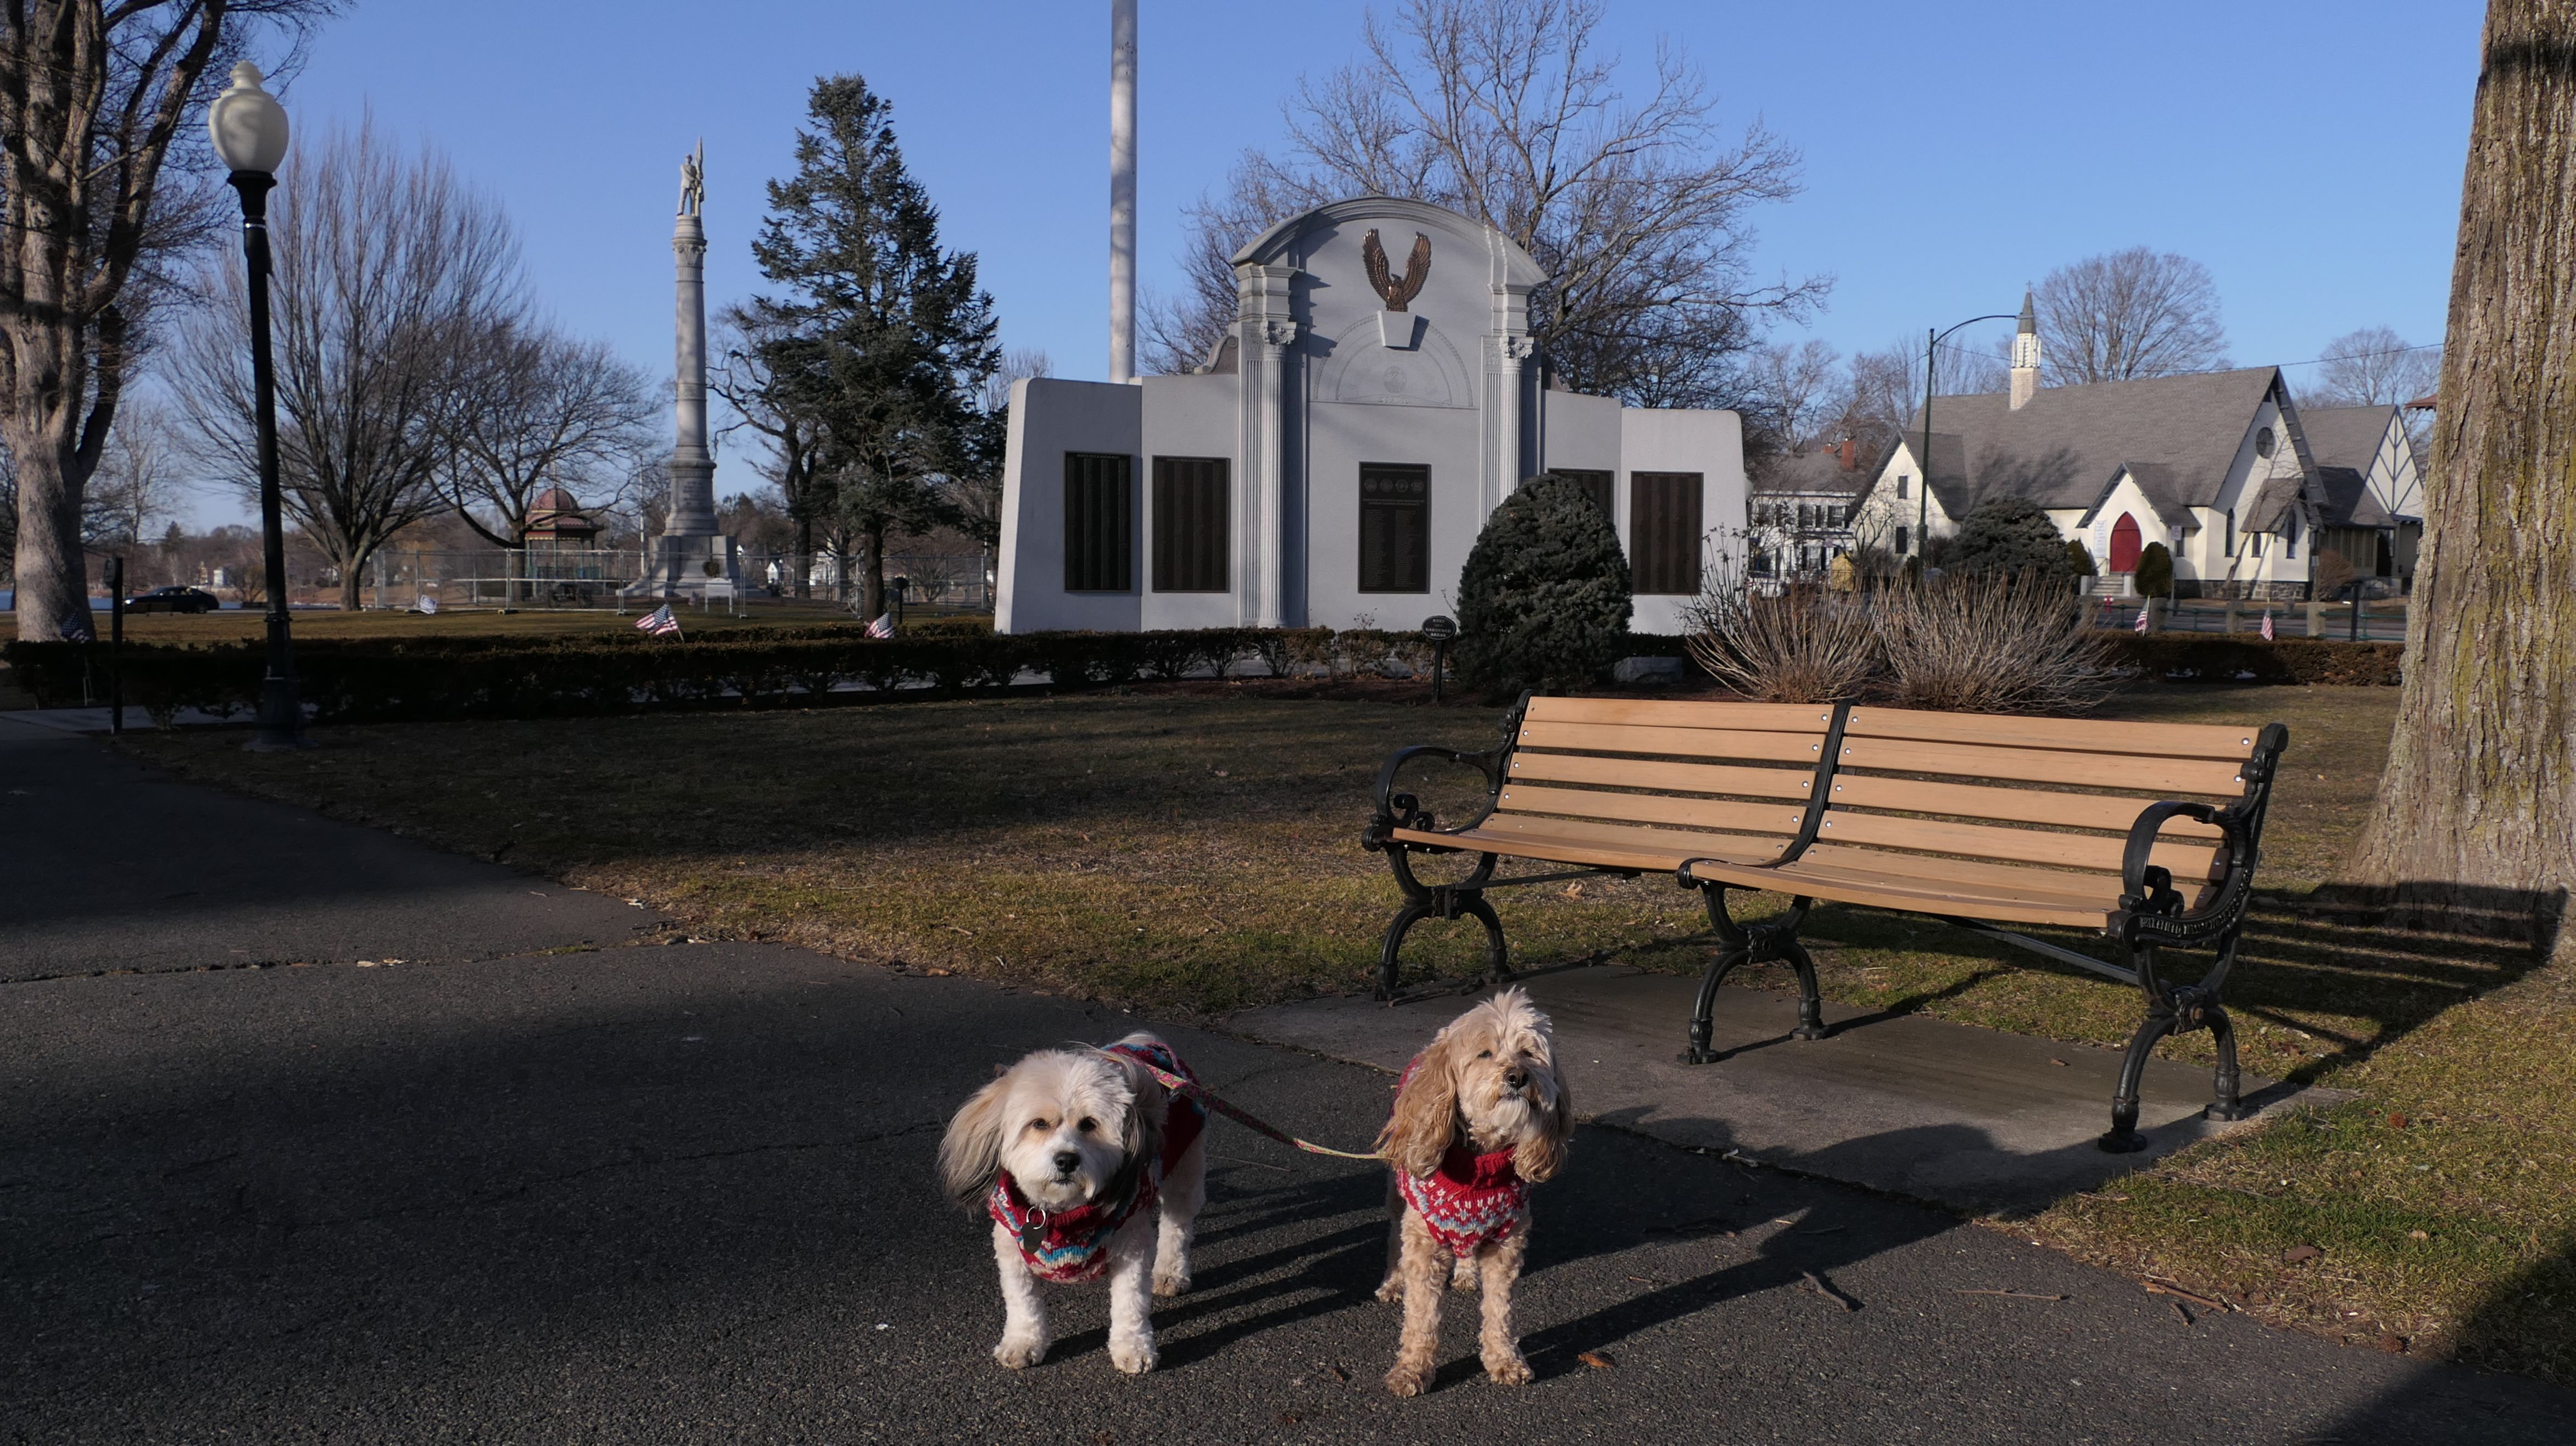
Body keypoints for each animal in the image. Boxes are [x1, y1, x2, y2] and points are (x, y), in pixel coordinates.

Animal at [937, 1032, 1208, 1374]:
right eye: (1039, 1124)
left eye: (1090, 1124)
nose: (1066, 1160)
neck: (1064, 1213)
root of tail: (1149, 1044)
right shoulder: (1011, 1248)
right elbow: (1023, 1302)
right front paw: (1023, 1342)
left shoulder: (1132, 1245)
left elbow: (1130, 1303)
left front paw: (1133, 1347)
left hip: (1185, 1169)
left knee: (1177, 1226)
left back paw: (1171, 1272)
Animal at [1374, 987, 1572, 1396]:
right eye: (1485, 1054)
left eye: (1529, 1053)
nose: (1518, 1076)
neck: (1480, 1166)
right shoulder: (1424, 1243)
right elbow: (1421, 1317)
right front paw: (1413, 1369)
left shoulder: (1507, 1242)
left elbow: (1500, 1310)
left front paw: (1504, 1359)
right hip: (1398, 1198)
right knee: (1393, 1239)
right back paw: (1392, 1281)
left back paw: (1466, 1271)